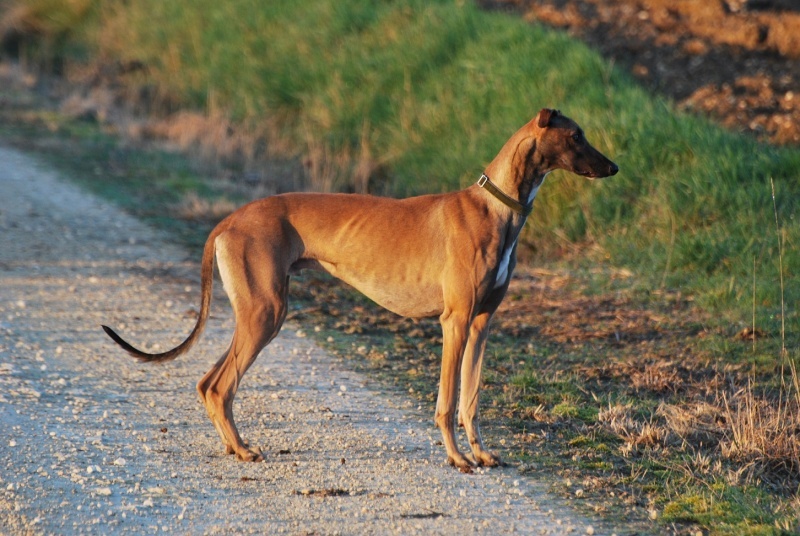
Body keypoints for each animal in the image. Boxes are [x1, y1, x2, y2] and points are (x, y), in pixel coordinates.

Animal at [103, 108, 618, 472]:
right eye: (576, 135)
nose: (614, 167)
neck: (498, 208)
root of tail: (229, 220)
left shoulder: (481, 324)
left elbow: (471, 399)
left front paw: (481, 454)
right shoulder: (454, 323)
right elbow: (448, 401)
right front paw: (456, 459)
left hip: (259, 313)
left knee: (209, 382)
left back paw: (236, 447)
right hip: (265, 312)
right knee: (219, 385)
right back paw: (244, 451)